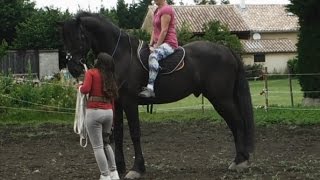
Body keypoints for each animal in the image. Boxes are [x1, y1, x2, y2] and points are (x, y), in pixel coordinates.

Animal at [59, 12, 255, 179]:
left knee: (238, 123)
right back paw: (240, 159)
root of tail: (227, 50)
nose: (73, 68)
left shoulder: (130, 102)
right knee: (235, 124)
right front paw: (120, 167)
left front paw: (137, 169)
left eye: (79, 37)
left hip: (222, 100)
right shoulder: (117, 103)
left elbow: (135, 133)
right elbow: (119, 133)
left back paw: (240, 161)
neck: (121, 55)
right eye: (64, 39)